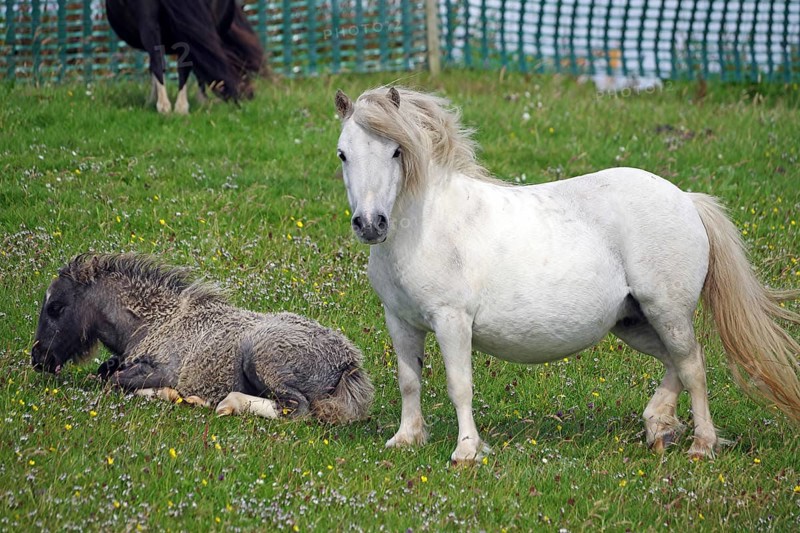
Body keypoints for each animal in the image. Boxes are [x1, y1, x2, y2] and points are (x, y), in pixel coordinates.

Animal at [30, 253, 374, 424]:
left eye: (55, 307)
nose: (39, 359)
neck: (157, 321)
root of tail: (348, 362)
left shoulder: (164, 370)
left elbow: (115, 382)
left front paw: (170, 395)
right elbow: (107, 372)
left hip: (261, 360)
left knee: (295, 409)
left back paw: (224, 403)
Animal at [334, 86, 800, 463]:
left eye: (396, 151)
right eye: (343, 153)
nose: (371, 224)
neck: (426, 225)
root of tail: (686, 198)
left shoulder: (452, 321)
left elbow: (459, 385)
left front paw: (467, 451)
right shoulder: (401, 322)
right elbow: (409, 381)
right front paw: (406, 439)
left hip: (668, 311)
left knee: (693, 365)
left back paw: (701, 445)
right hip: (632, 321)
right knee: (676, 364)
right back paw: (658, 426)